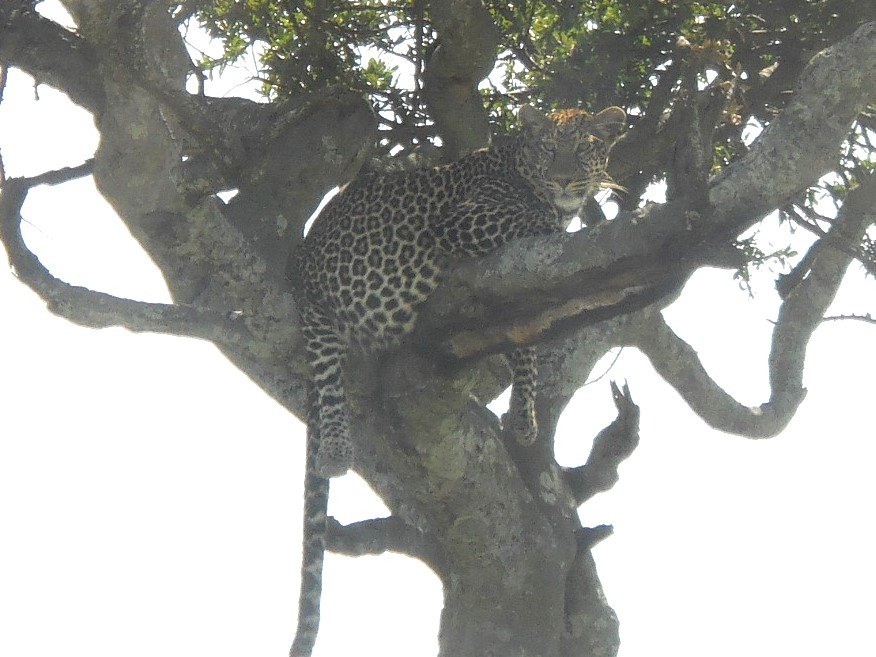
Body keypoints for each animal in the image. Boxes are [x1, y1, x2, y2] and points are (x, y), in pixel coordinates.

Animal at [290, 105, 628, 652]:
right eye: (548, 149)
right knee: (327, 375)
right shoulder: (465, 219)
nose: (564, 180)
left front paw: (524, 415)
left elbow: (524, 343)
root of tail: (300, 265)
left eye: (583, 148)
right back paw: (337, 450)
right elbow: (537, 225)